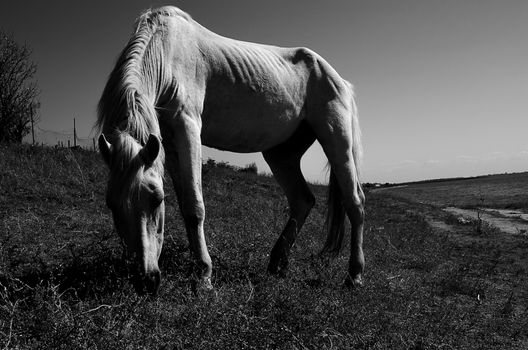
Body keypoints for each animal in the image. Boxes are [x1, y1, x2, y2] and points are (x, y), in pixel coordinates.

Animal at [97, 6, 366, 296]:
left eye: (156, 199)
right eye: (111, 204)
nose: (145, 281)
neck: (167, 51)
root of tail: (339, 79)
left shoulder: (188, 127)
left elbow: (194, 207)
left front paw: (204, 276)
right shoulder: (168, 144)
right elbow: (184, 206)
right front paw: (196, 267)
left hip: (337, 140)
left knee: (355, 202)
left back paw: (354, 275)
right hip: (281, 155)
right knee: (302, 200)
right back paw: (277, 264)